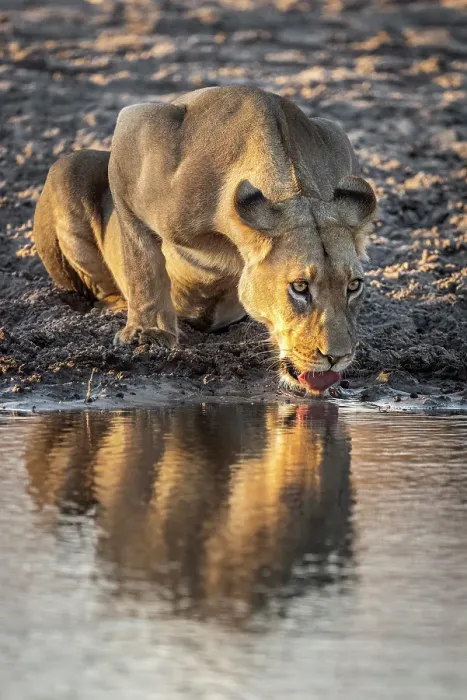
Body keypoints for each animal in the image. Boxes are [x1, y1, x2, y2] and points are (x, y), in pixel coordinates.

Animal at [33, 86, 376, 393]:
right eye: (300, 287)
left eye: (353, 286)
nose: (337, 358)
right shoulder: (134, 130)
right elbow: (142, 264)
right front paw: (148, 334)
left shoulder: (338, 138)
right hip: (68, 167)